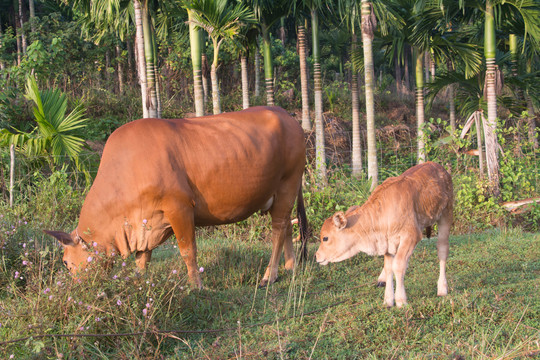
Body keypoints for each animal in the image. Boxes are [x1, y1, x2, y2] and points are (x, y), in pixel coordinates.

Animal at [44, 105, 308, 288]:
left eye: (66, 262)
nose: (77, 290)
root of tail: (288, 116)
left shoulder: (179, 207)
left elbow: (187, 251)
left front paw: (195, 286)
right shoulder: (145, 222)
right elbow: (142, 258)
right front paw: (139, 283)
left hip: (288, 184)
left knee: (277, 230)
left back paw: (269, 276)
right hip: (282, 193)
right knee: (287, 225)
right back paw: (291, 266)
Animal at [314, 162, 454, 306]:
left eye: (325, 238)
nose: (317, 256)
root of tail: (438, 166)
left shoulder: (411, 235)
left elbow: (398, 265)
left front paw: (401, 300)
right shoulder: (387, 242)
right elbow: (389, 268)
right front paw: (388, 300)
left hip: (446, 214)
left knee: (442, 249)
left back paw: (442, 288)